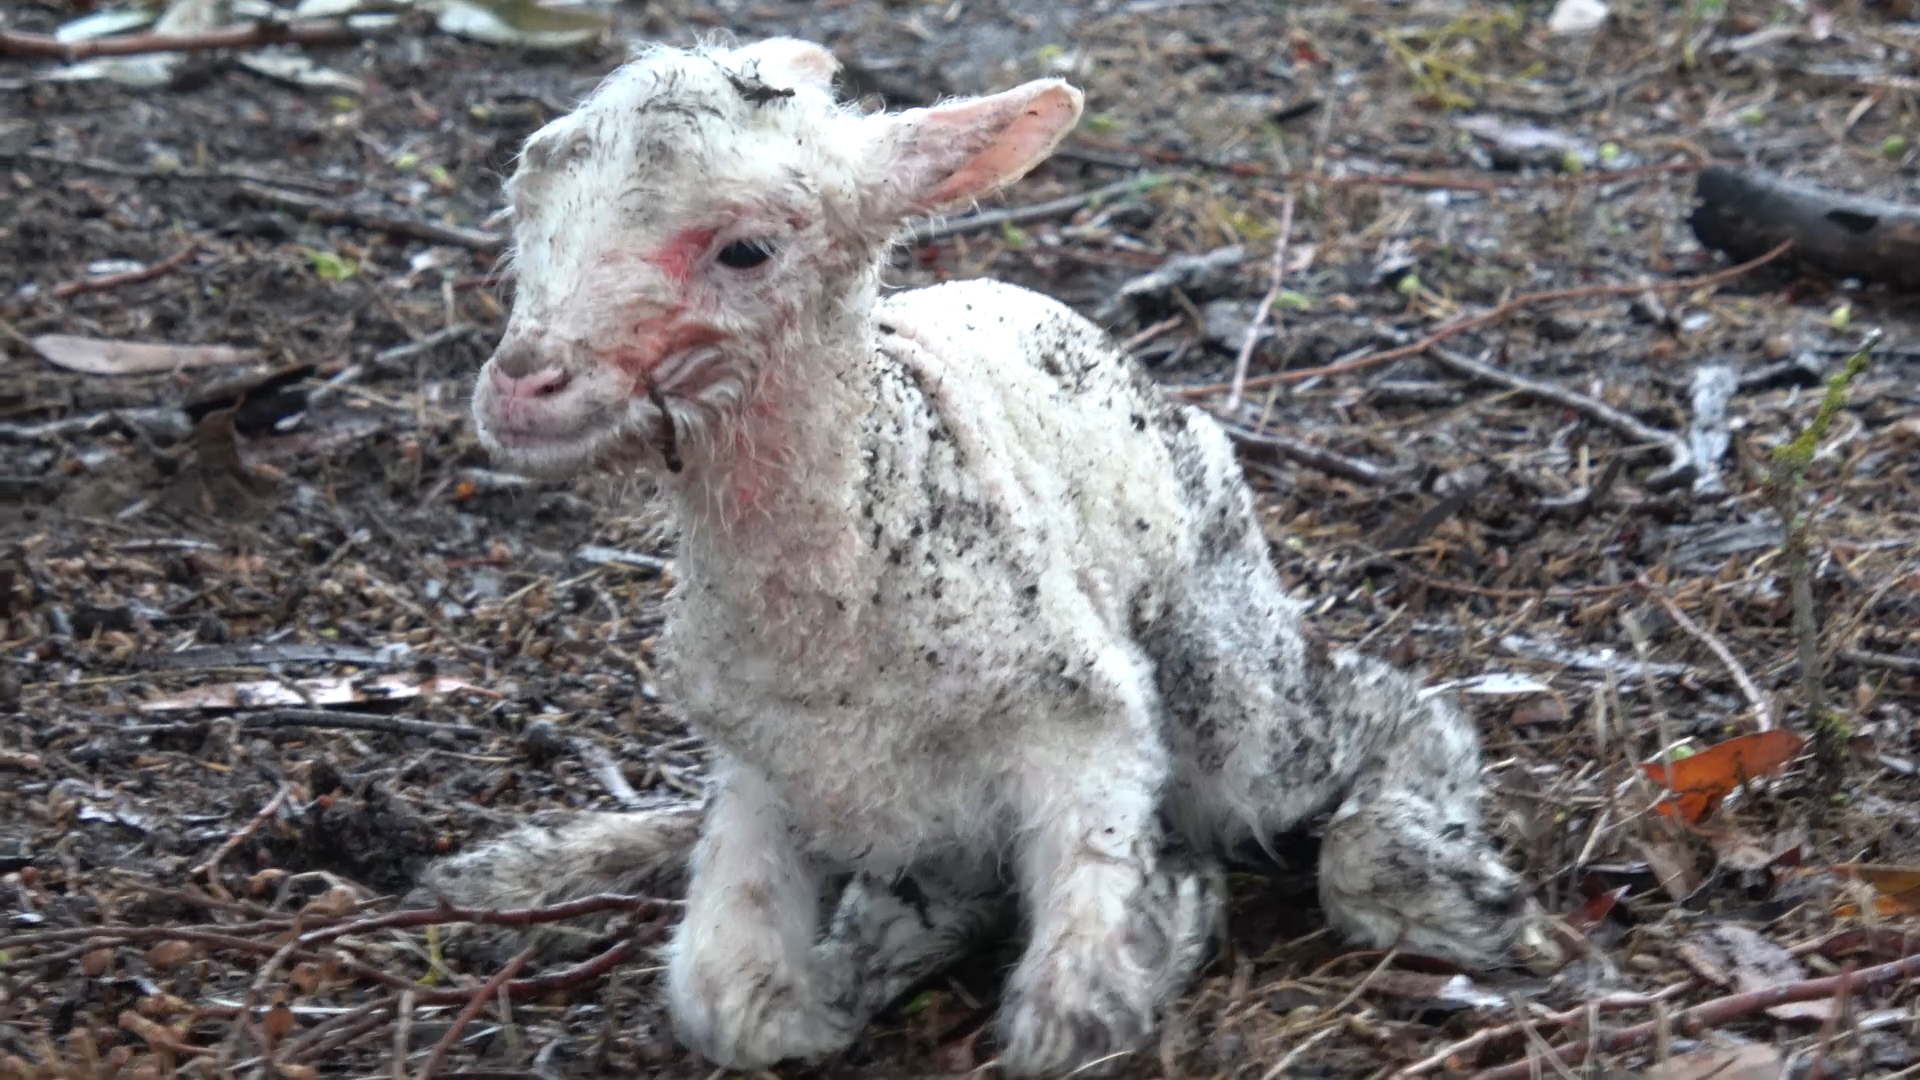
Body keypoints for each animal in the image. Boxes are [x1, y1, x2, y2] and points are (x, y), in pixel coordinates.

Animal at [426, 36, 1549, 1078]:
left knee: (1386, 711)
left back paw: (1431, 881)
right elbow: (735, 1004)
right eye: (523, 204)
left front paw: (1170, 918)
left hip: (1228, 682)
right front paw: (854, 958)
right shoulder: (758, 765)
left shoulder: (1088, 717)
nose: (520, 386)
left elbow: (1072, 1016)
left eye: (746, 250)